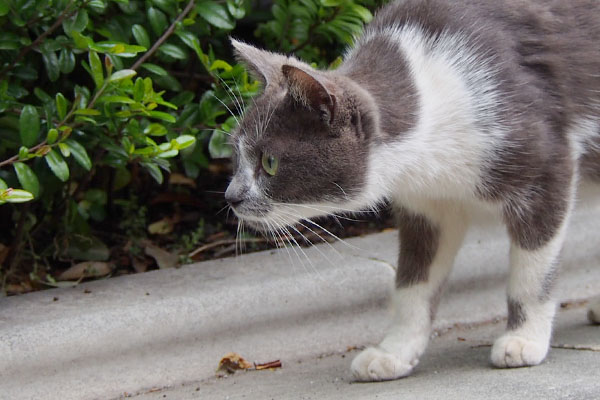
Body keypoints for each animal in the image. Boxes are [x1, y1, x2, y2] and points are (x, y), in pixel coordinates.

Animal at [224, 0, 600, 382]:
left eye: (269, 162)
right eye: (236, 154)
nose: (231, 196)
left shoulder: (546, 167)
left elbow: (532, 271)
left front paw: (523, 340)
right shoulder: (426, 208)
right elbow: (413, 282)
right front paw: (394, 352)